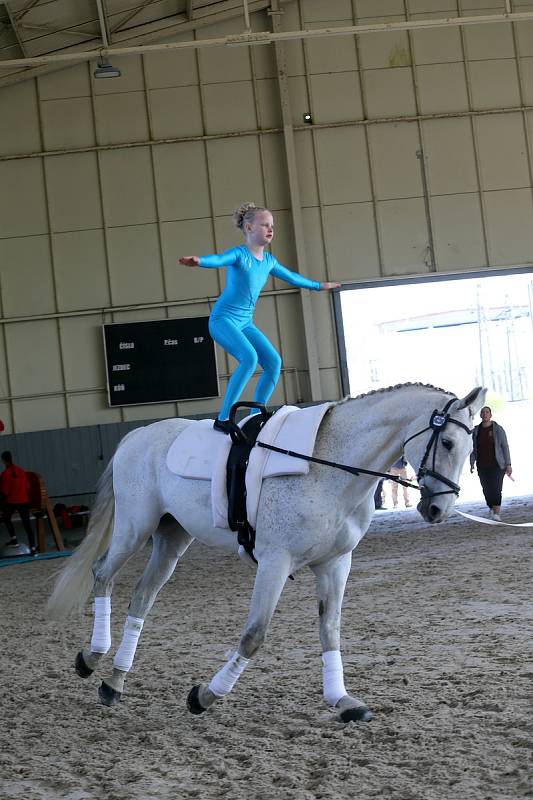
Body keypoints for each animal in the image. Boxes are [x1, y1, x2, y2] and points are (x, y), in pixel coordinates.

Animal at [47, 384, 484, 720]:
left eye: (470, 449)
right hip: (135, 529)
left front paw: (342, 700)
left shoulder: (335, 563)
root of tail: (135, 435)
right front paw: (205, 696)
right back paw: (91, 657)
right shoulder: (275, 561)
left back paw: (114, 681)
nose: (438, 510)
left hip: (171, 539)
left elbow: (330, 630)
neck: (330, 465)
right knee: (103, 574)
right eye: (447, 442)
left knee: (141, 598)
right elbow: (254, 635)